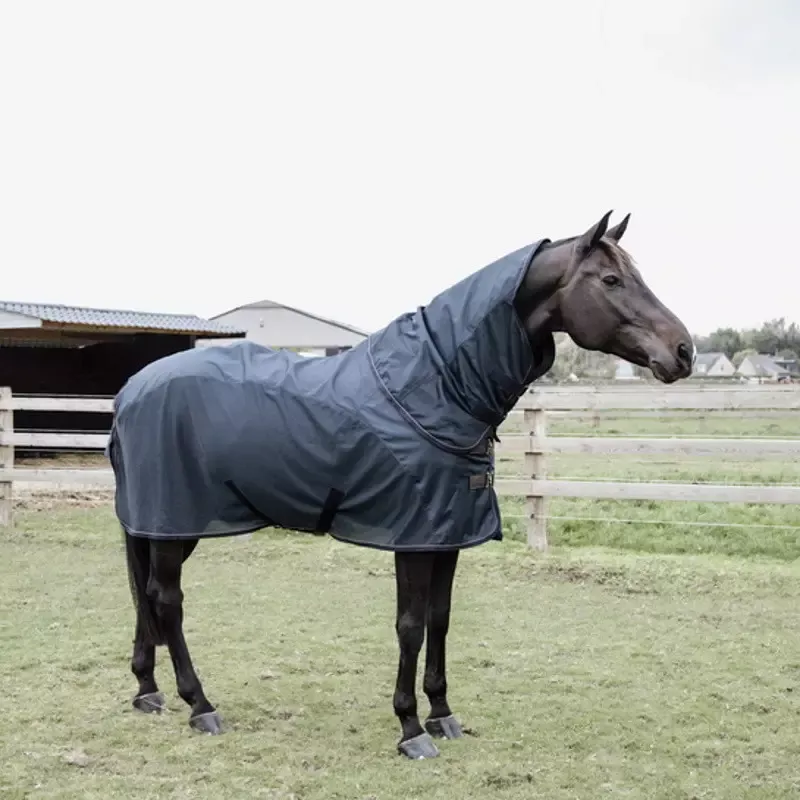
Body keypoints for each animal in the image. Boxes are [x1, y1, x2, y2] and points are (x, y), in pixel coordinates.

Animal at [107, 211, 694, 760]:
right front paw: (411, 728)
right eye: (611, 279)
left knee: (145, 595)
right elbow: (410, 625)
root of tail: (132, 389)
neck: (435, 389)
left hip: (162, 524)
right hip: (174, 520)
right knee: (167, 599)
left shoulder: (448, 536)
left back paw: (147, 691)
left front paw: (443, 714)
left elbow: (440, 618)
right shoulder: (411, 538)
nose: (683, 350)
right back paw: (199, 704)